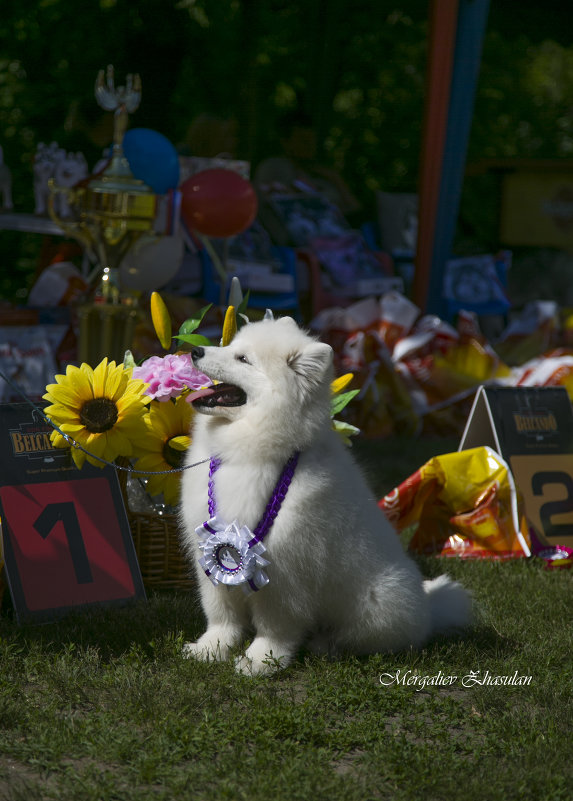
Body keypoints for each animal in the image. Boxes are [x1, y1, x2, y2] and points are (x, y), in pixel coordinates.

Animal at [180, 316, 474, 672]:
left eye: (243, 359)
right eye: (231, 345)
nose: (195, 351)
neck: (250, 452)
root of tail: (428, 610)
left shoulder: (283, 568)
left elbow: (274, 626)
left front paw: (260, 661)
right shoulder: (210, 549)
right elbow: (221, 613)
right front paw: (210, 648)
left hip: (375, 602)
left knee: (358, 639)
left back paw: (323, 644)